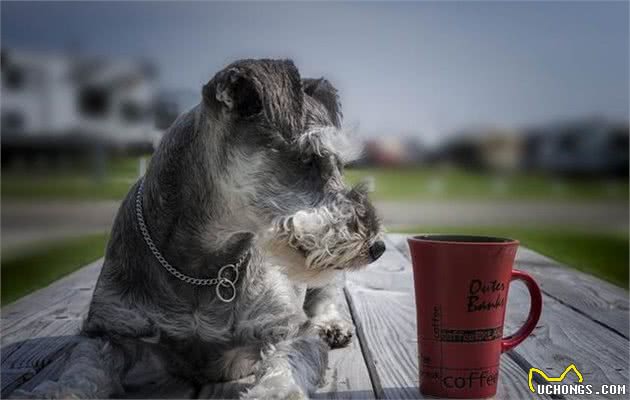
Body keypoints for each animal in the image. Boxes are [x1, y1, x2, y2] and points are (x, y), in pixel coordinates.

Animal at [11, 59, 386, 400]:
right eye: (309, 158)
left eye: (340, 166)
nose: (377, 247)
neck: (204, 263)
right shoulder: (108, 331)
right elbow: (80, 369)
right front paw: (54, 392)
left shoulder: (290, 331)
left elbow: (286, 368)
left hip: (326, 282)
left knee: (324, 297)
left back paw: (333, 325)